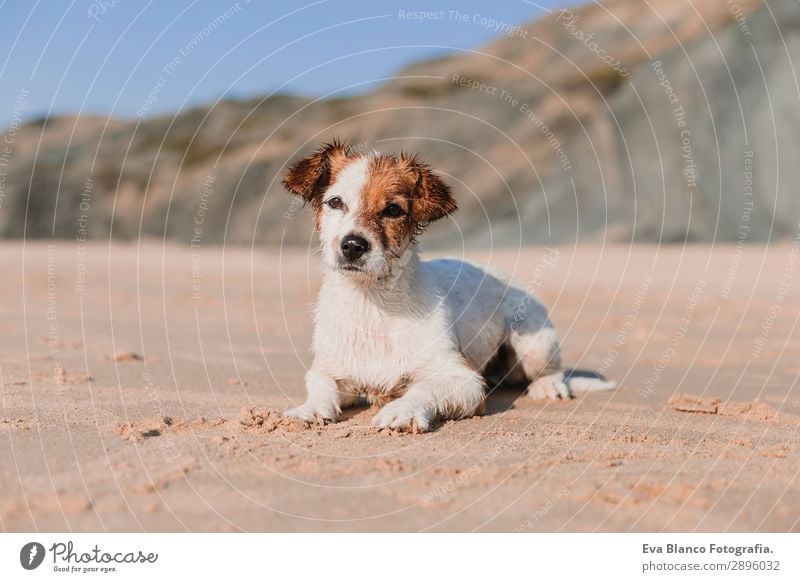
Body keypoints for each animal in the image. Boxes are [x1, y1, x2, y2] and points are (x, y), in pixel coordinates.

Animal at [284, 140, 616, 434]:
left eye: (393, 210)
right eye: (335, 202)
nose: (353, 246)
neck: (372, 306)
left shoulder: (465, 380)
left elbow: (422, 389)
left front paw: (401, 411)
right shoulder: (328, 368)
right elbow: (322, 387)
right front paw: (308, 410)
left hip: (534, 342)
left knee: (550, 370)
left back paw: (548, 385)